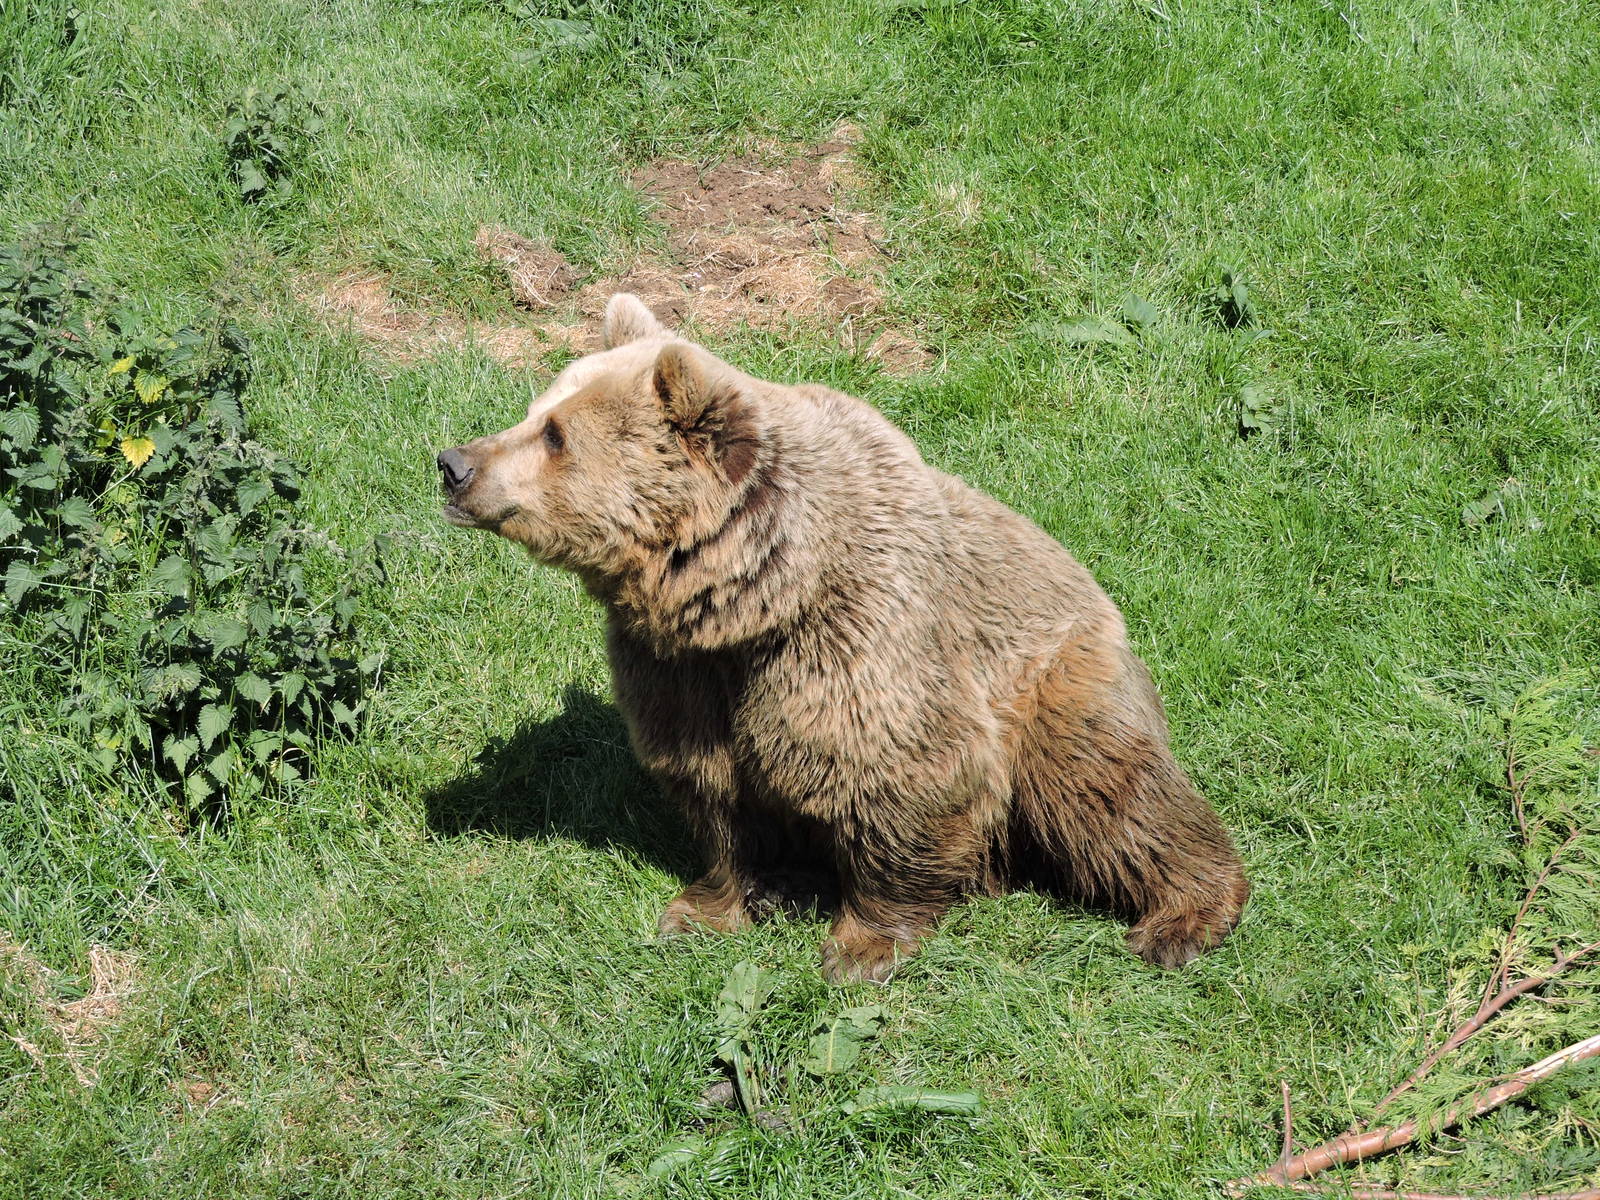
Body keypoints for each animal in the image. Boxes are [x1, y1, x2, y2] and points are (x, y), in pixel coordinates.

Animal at [436, 293, 1248, 983]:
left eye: (556, 435)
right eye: (535, 410)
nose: (453, 464)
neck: (753, 597)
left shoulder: (860, 636)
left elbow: (904, 773)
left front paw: (862, 947)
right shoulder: (679, 670)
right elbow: (714, 789)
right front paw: (706, 906)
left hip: (1059, 680)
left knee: (1109, 792)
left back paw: (1180, 918)